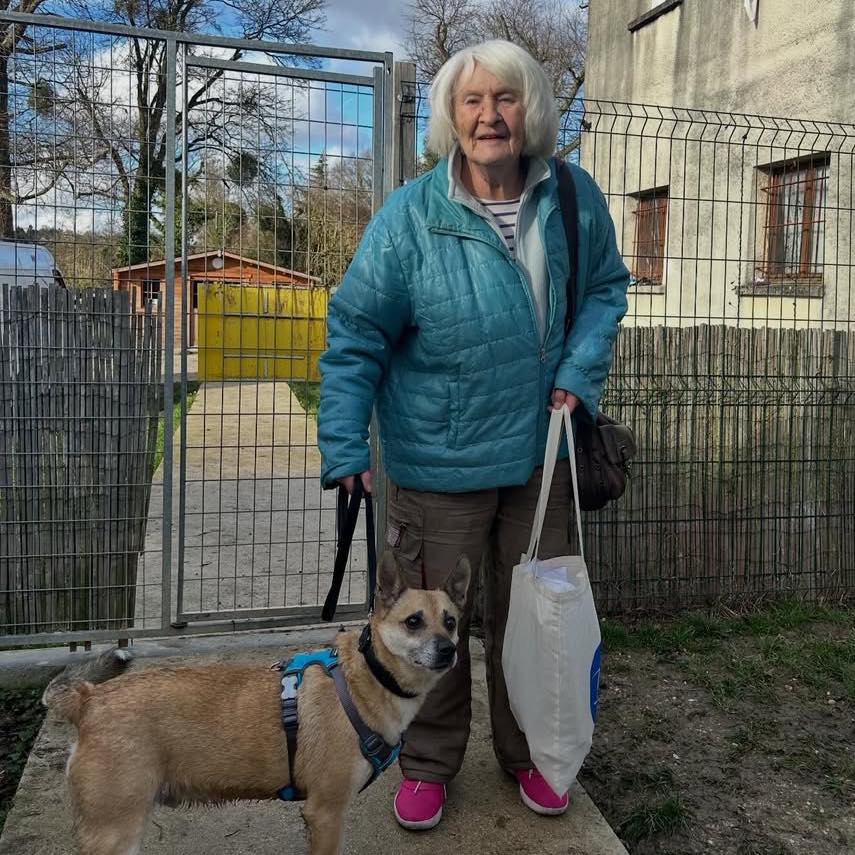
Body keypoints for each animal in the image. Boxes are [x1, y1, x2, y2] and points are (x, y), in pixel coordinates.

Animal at [43, 550, 470, 855]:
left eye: (450, 622)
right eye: (413, 622)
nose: (448, 651)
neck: (365, 675)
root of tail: (89, 697)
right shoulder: (326, 812)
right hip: (114, 832)